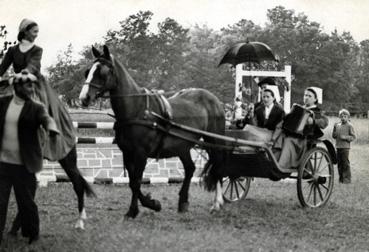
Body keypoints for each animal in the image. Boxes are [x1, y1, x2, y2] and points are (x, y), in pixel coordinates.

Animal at [79, 45, 226, 219]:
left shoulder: (141, 154)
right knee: (190, 169)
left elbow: (136, 181)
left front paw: (136, 209)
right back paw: (183, 202)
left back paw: (217, 204)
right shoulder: (127, 152)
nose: (84, 98)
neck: (137, 109)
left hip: (213, 141)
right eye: (87, 72)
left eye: (102, 73)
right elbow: (132, 182)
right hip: (182, 147)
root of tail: (214, 99)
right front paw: (151, 204)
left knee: (218, 167)